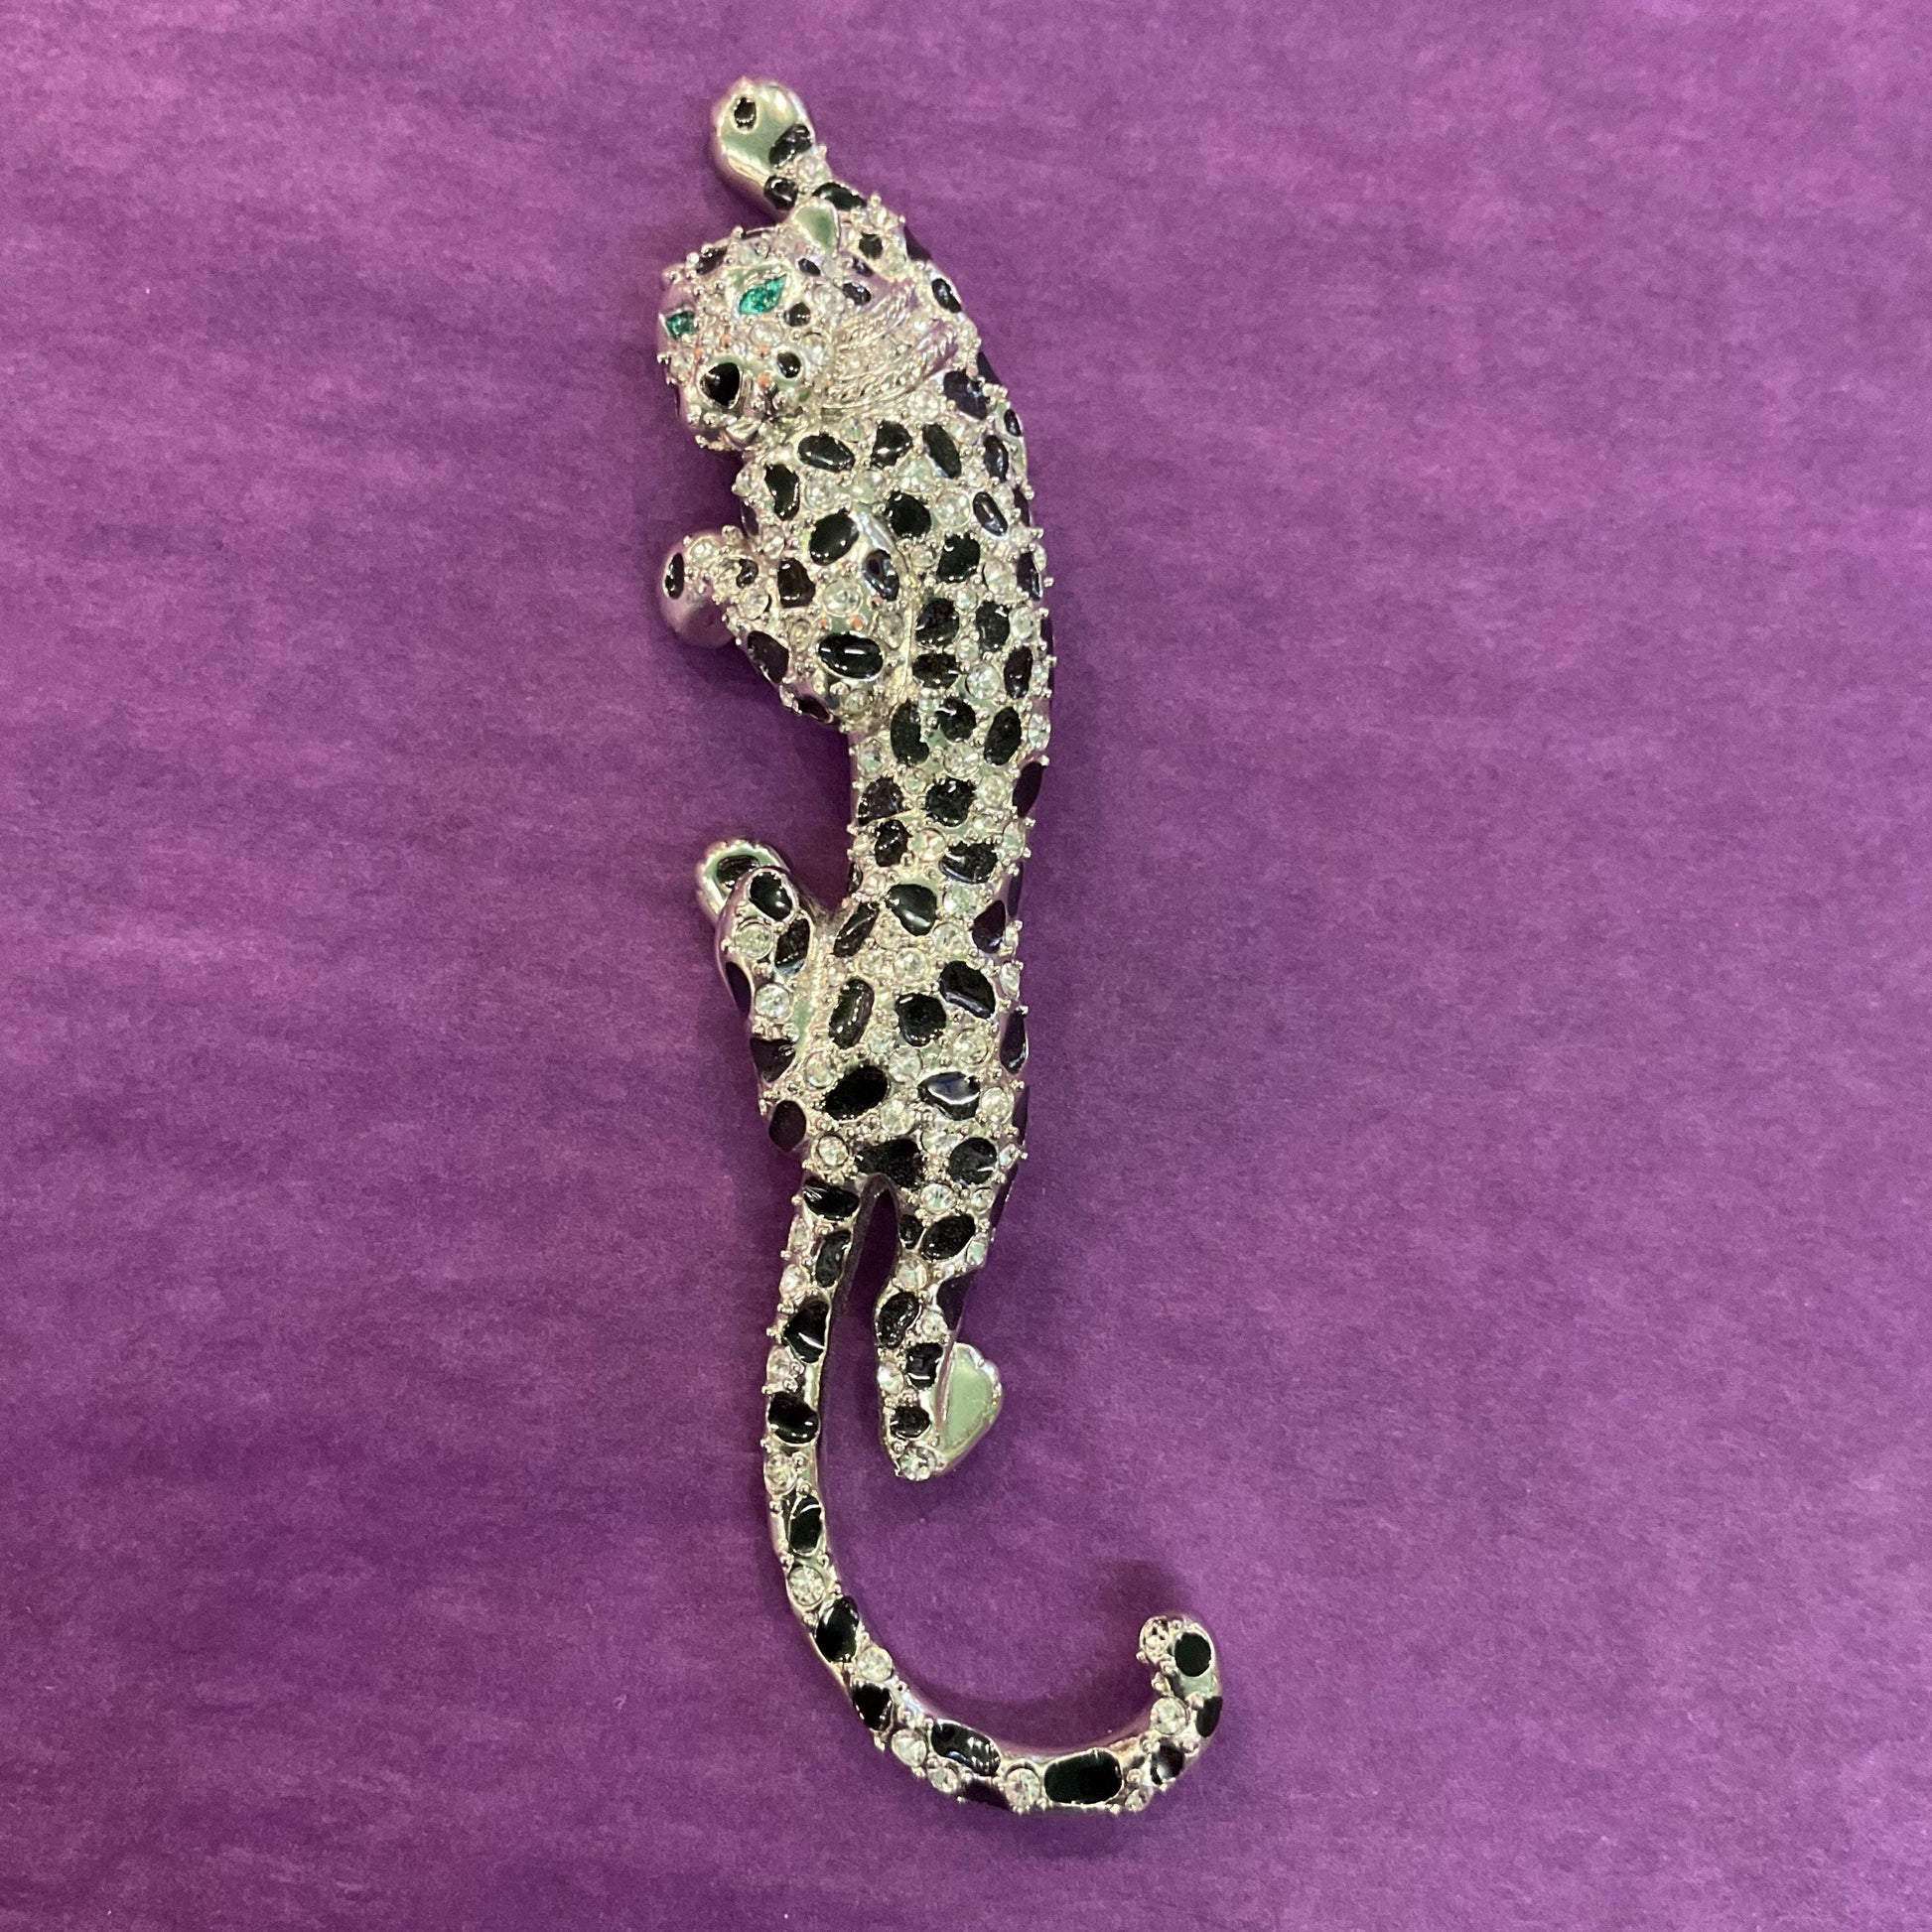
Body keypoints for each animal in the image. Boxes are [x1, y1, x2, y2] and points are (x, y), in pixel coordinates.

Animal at [654, 78, 1221, 1813]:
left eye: (750, 320)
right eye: (695, 303)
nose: (688, 367)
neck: (880, 362)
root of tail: (855, 1124)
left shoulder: (843, 599)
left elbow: (788, 629)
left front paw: (693, 571)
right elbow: (855, 196)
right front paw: (769, 136)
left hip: (952, 1146)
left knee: (904, 1366)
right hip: (931, 1147)